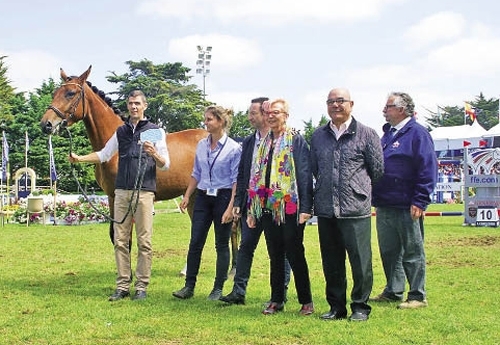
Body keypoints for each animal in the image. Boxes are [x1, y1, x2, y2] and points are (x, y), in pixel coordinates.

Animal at [39, 66, 238, 272]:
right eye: (55, 93)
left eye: (70, 93)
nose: (46, 124)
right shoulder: (113, 197)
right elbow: (116, 236)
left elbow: (127, 238)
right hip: (192, 197)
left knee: (230, 228)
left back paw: (233, 268)